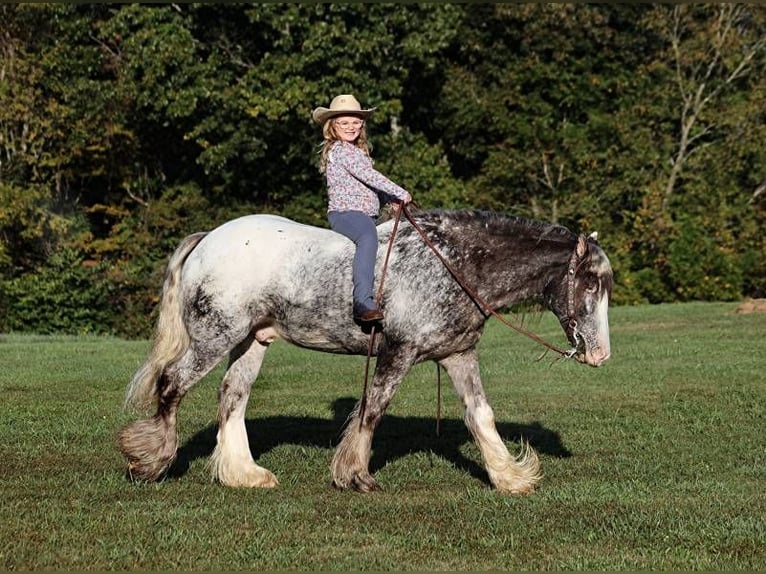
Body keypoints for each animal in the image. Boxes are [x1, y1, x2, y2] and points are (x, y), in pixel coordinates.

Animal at [118, 209, 612, 494]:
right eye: (590, 283)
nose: (600, 355)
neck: (454, 263)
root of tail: (208, 239)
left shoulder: (459, 356)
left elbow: (481, 417)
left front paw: (509, 476)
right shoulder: (400, 351)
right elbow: (373, 408)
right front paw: (353, 474)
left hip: (251, 342)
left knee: (231, 398)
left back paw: (244, 473)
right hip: (214, 338)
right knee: (172, 385)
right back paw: (151, 462)